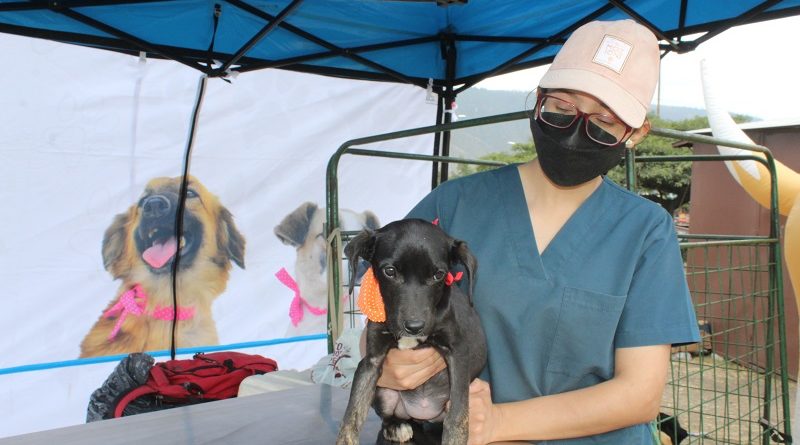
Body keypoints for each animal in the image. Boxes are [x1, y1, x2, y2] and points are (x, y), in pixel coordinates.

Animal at [336, 219, 488, 444]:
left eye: (439, 275)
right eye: (389, 271)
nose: (414, 327)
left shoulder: (459, 354)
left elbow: (458, 417)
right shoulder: (371, 362)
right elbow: (352, 415)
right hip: (384, 392)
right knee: (389, 417)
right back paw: (396, 427)